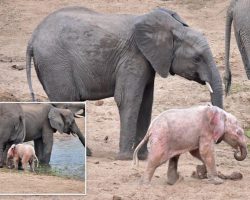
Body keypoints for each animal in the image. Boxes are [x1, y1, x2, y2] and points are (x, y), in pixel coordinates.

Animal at [26, 6, 224, 160]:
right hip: (56, 64)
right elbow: (129, 99)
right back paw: (89, 154)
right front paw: (125, 158)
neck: (172, 29)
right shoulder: (133, 57)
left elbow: (146, 102)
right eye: (197, 58)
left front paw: (144, 157)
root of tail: (33, 38)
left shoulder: (147, 61)